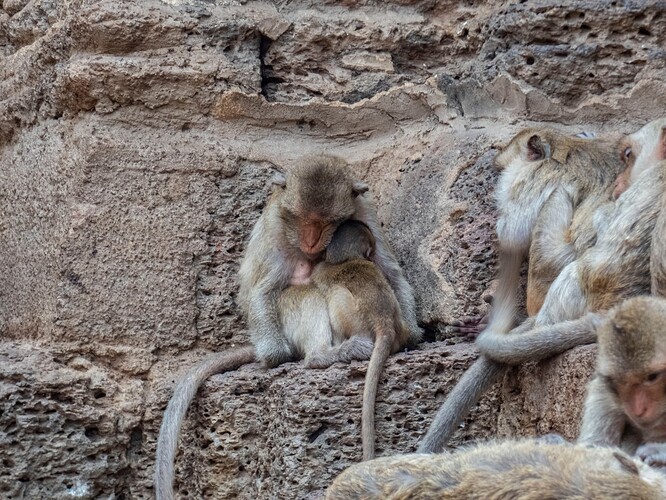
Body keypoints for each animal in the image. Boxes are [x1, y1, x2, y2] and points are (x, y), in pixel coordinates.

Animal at [154, 156, 420, 500]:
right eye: (301, 219)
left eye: (326, 221)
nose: (311, 240)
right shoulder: (275, 227)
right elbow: (261, 290)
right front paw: (275, 356)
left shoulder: (366, 212)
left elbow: (390, 270)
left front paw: (411, 334)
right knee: (303, 295)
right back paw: (326, 354)